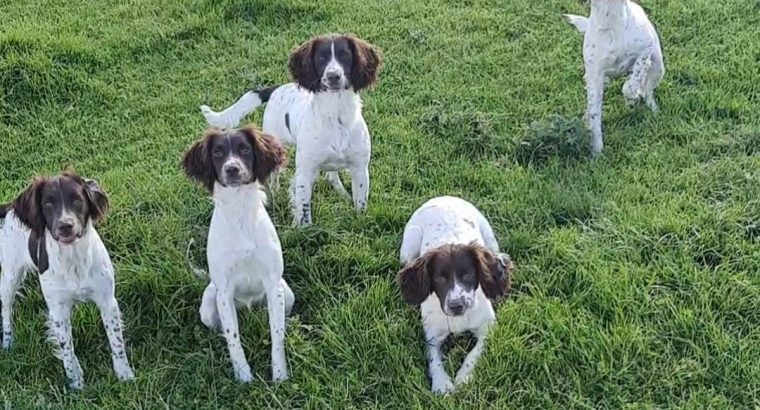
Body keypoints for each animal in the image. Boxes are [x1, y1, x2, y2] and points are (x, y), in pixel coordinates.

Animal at [0, 171, 134, 390]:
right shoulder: (58, 311)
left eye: (78, 200)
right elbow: (67, 349)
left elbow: (116, 341)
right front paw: (76, 383)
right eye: (47, 204)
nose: (65, 226)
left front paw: (124, 375)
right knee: (6, 310)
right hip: (10, 277)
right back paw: (8, 342)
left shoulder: (107, 301)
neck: (74, 259)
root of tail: (11, 206)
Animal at [183, 125, 296, 384]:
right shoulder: (224, 292)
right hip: (209, 305)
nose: (232, 169)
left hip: (286, 293)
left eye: (245, 149)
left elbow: (277, 335)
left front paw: (279, 375)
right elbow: (233, 338)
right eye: (217, 152)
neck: (239, 210)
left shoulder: (273, 284)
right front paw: (243, 376)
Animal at [200, 33, 382, 227]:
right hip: (276, 146)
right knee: (274, 177)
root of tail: (274, 89)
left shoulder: (360, 169)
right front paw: (305, 228)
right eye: (321, 58)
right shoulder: (304, 173)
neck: (336, 114)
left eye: (345, 55)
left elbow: (360, 203)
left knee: (332, 175)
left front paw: (359, 219)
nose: (333, 76)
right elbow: (304, 208)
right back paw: (274, 194)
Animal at [394, 195, 512, 394]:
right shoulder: (432, 335)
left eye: (468, 275)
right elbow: (434, 361)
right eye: (440, 279)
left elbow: (474, 353)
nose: (457, 306)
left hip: (491, 239)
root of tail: (444, 197)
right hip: (407, 249)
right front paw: (442, 384)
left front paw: (464, 377)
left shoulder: (487, 328)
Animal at [564, 0, 664, 154]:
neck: (612, 21)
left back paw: (653, 109)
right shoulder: (594, 75)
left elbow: (629, 85)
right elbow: (595, 114)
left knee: (648, 92)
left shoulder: (645, 49)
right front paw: (597, 151)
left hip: (658, 66)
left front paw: (632, 99)